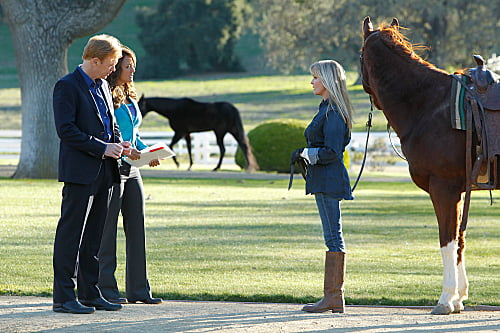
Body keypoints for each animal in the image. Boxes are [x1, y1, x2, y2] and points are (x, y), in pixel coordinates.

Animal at [360, 16, 488, 316]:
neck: (428, 104)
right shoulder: (458, 192)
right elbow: (459, 241)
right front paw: (459, 297)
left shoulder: (444, 189)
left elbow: (447, 241)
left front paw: (447, 298)